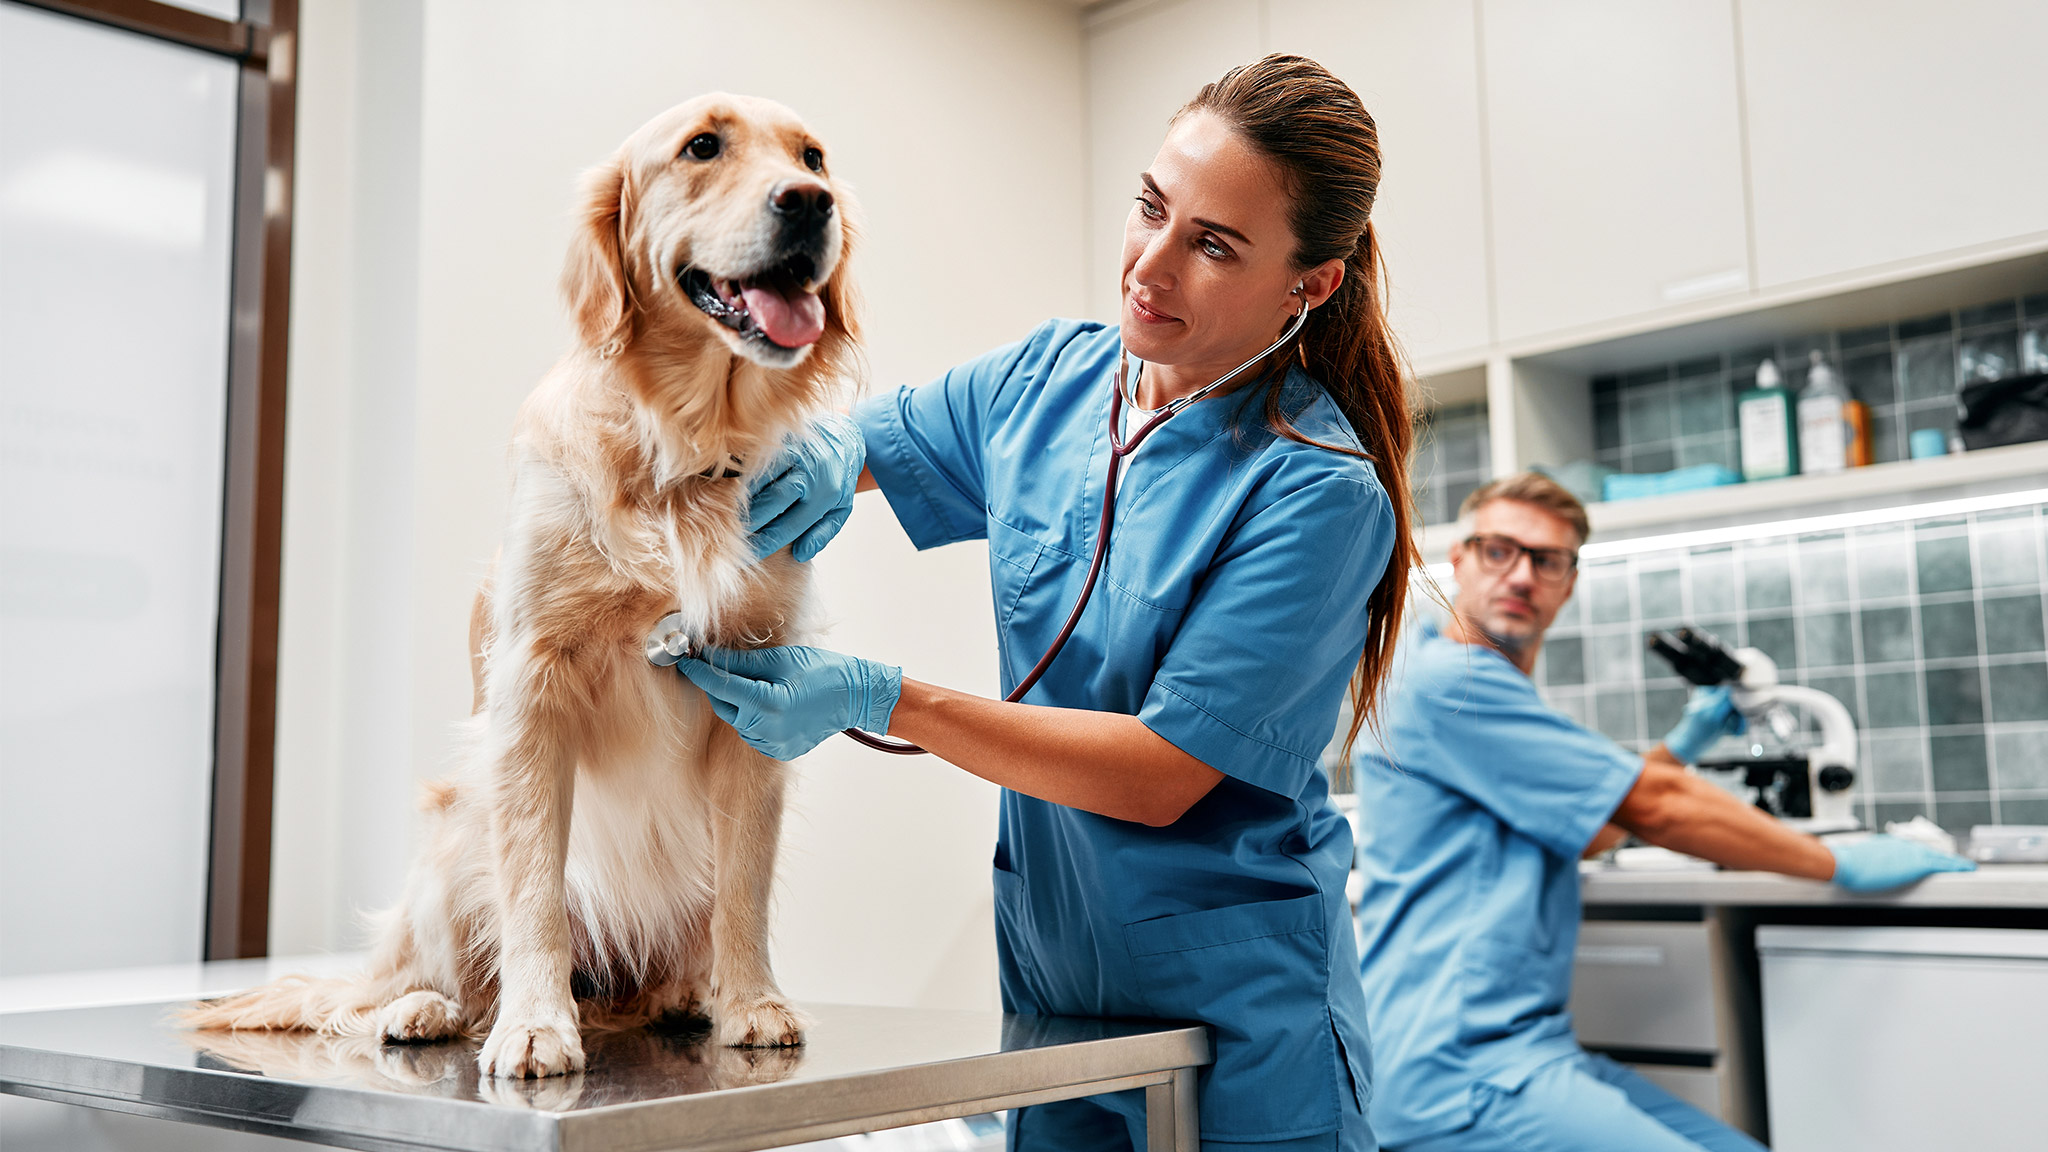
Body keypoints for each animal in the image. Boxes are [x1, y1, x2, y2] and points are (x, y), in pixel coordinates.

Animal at [180, 91, 860, 1074]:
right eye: (702, 146)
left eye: (813, 156)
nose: (811, 203)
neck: (677, 452)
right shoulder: (533, 689)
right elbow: (534, 888)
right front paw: (535, 1021)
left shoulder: (758, 698)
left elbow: (745, 888)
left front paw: (753, 1003)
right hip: (450, 837)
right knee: (378, 993)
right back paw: (424, 1009)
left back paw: (686, 995)